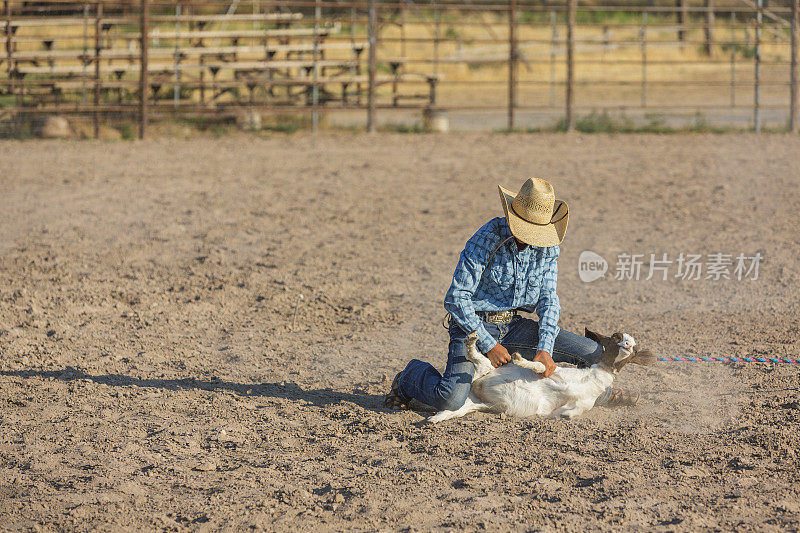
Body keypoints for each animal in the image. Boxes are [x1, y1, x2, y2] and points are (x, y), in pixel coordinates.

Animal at [428, 326, 652, 422]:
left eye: (635, 349)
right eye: (616, 337)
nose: (628, 345)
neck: (591, 379)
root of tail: (476, 386)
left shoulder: (585, 401)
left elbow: (578, 409)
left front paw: (566, 414)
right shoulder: (555, 372)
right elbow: (539, 367)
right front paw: (518, 359)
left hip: (476, 401)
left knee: (459, 410)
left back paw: (436, 418)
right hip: (485, 370)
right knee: (475, 357)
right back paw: (472, 339)